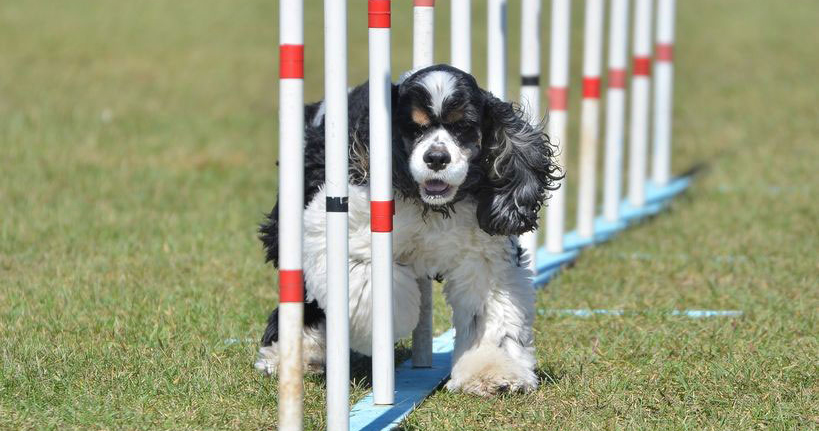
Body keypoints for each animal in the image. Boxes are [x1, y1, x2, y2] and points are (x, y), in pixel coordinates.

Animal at [256, 65, 560, 398]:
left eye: (463, 126)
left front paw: (494, 373)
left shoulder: (484, 256)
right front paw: (384, 325)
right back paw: (292, 355)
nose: (437, 158)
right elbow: (366, 283)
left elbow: (491, 315)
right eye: (415, 129)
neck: (431, 205)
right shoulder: (338, 228)